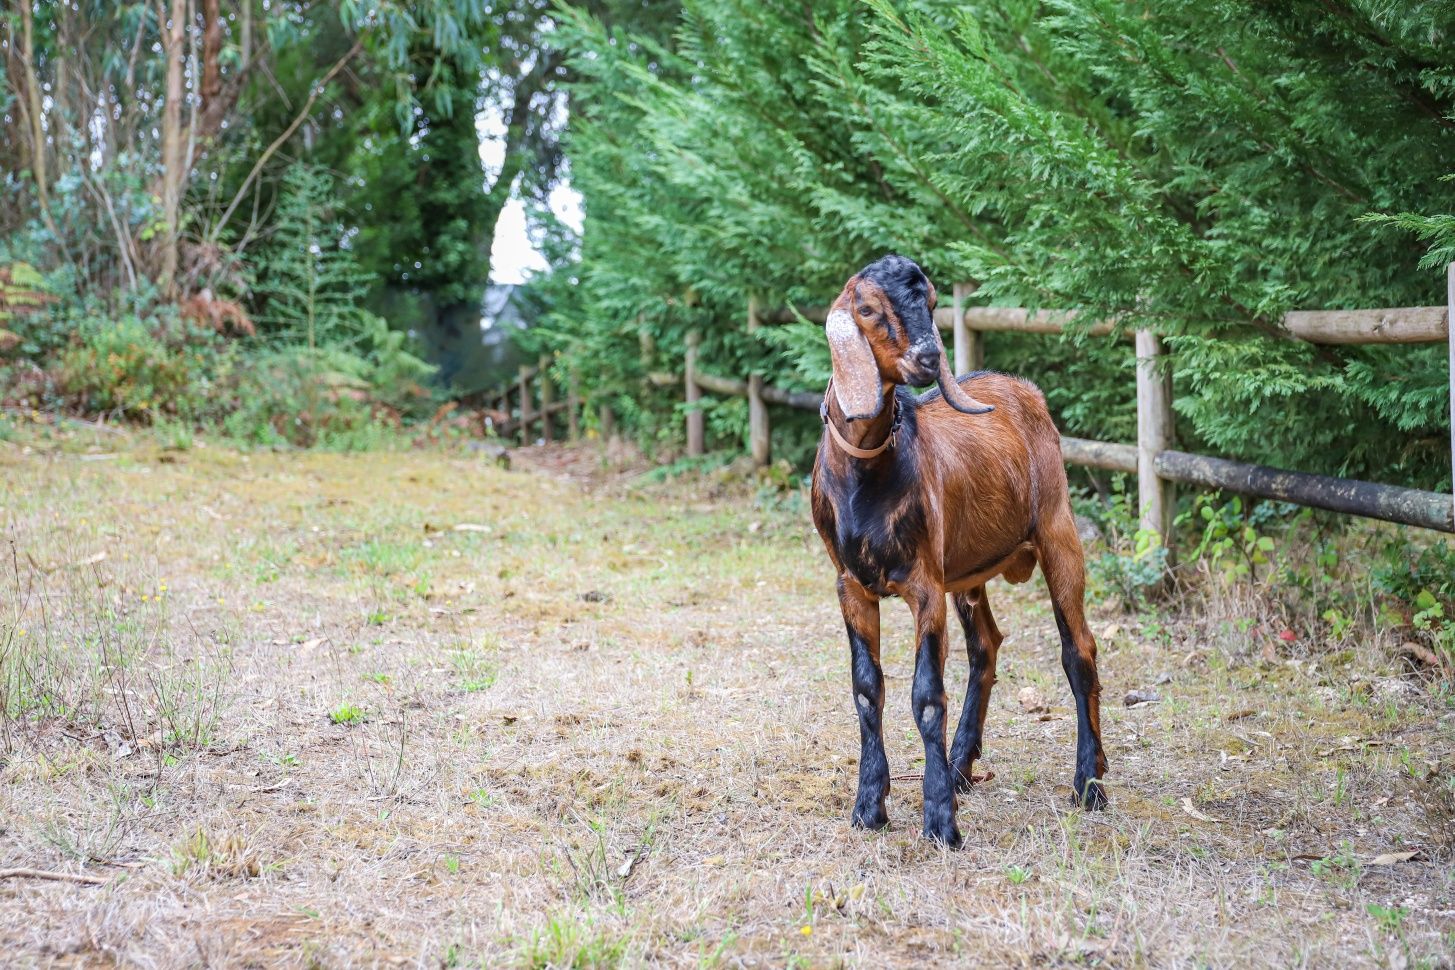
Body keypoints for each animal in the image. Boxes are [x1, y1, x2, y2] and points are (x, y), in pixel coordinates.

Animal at [814, 254, 1105, 843]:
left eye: (930, 303)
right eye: (867, 308)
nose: (928, 357)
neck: (865, 476)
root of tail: (1025, 390)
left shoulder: (924, 584)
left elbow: (926, 696)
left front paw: (940, 821)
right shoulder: (850, 585)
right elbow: (866, 689)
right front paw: (869, 806)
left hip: (1058, 532)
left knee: (1079, 650)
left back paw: (1089, 783)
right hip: (968, 569)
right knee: (985, 645)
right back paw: (961, 764)